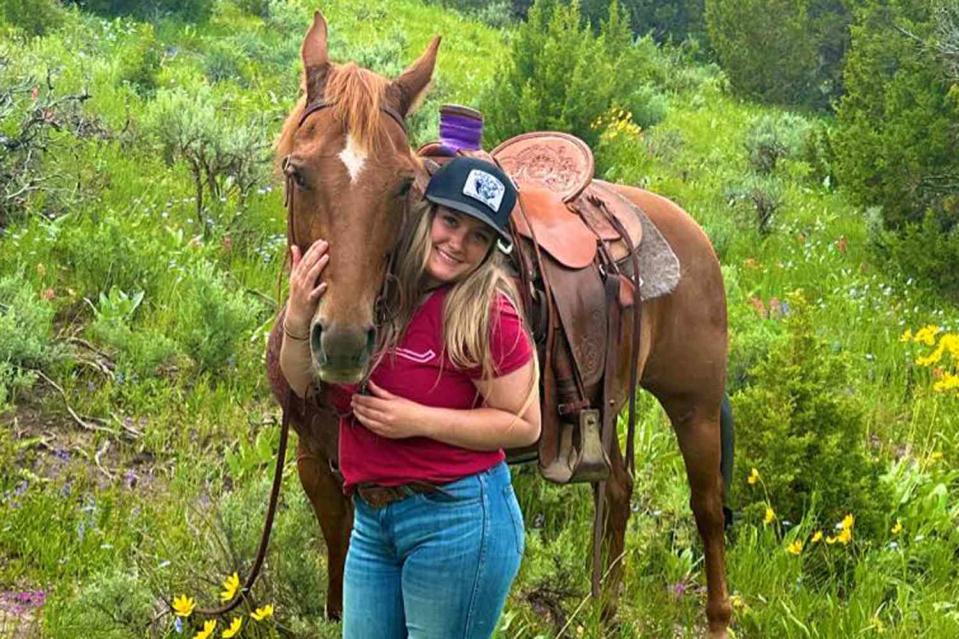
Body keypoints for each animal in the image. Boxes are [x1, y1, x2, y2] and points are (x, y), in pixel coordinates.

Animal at [266, 11, 732, 639]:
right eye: (298, 172)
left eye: (403, 184)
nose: (341, 343)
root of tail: (689, 230)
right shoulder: (317, 464)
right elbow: (341, 580)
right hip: (607, 406)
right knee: (617, 487)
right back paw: (604, 610)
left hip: (695, 404)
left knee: (707, 509)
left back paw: (718, 619)